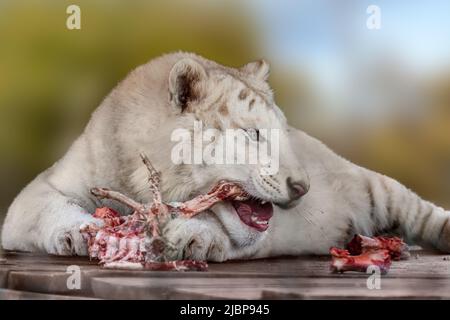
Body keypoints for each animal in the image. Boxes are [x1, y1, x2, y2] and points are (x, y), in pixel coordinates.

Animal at [0, 51, 450, 260]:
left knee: (422, 212)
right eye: (254, 134)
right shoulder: (41, 188)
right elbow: (45, 207)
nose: (303, 187)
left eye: (285, 133)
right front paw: (78, 232)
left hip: (380, 187)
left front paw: (190, 236)